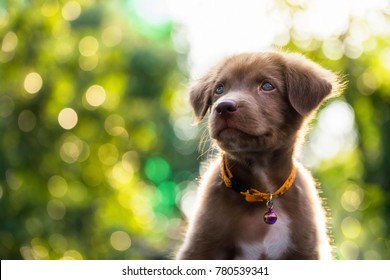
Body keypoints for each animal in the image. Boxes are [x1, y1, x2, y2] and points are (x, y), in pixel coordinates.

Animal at [176, 51, 342, 260]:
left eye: (267, 86)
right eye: (219, 89)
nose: (223, 107)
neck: (263, 191)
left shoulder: (307, 250)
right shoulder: (201, 247)